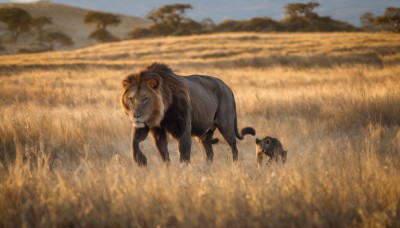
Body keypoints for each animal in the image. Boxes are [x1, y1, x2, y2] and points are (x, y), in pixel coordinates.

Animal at [120, 62, 256, 166]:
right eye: (131, 99)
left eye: (145, 99)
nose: (135, 116)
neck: (161, 114)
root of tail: (227, 87)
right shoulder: (152, 128)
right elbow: (136, 144)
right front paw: (142, 161)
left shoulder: (182, 127)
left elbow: (184, 152)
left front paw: (183, 173)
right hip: (204, 133)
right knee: (209, 151)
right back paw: (207, 167)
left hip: (226, 125)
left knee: (233, 145)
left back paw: (235, 165)